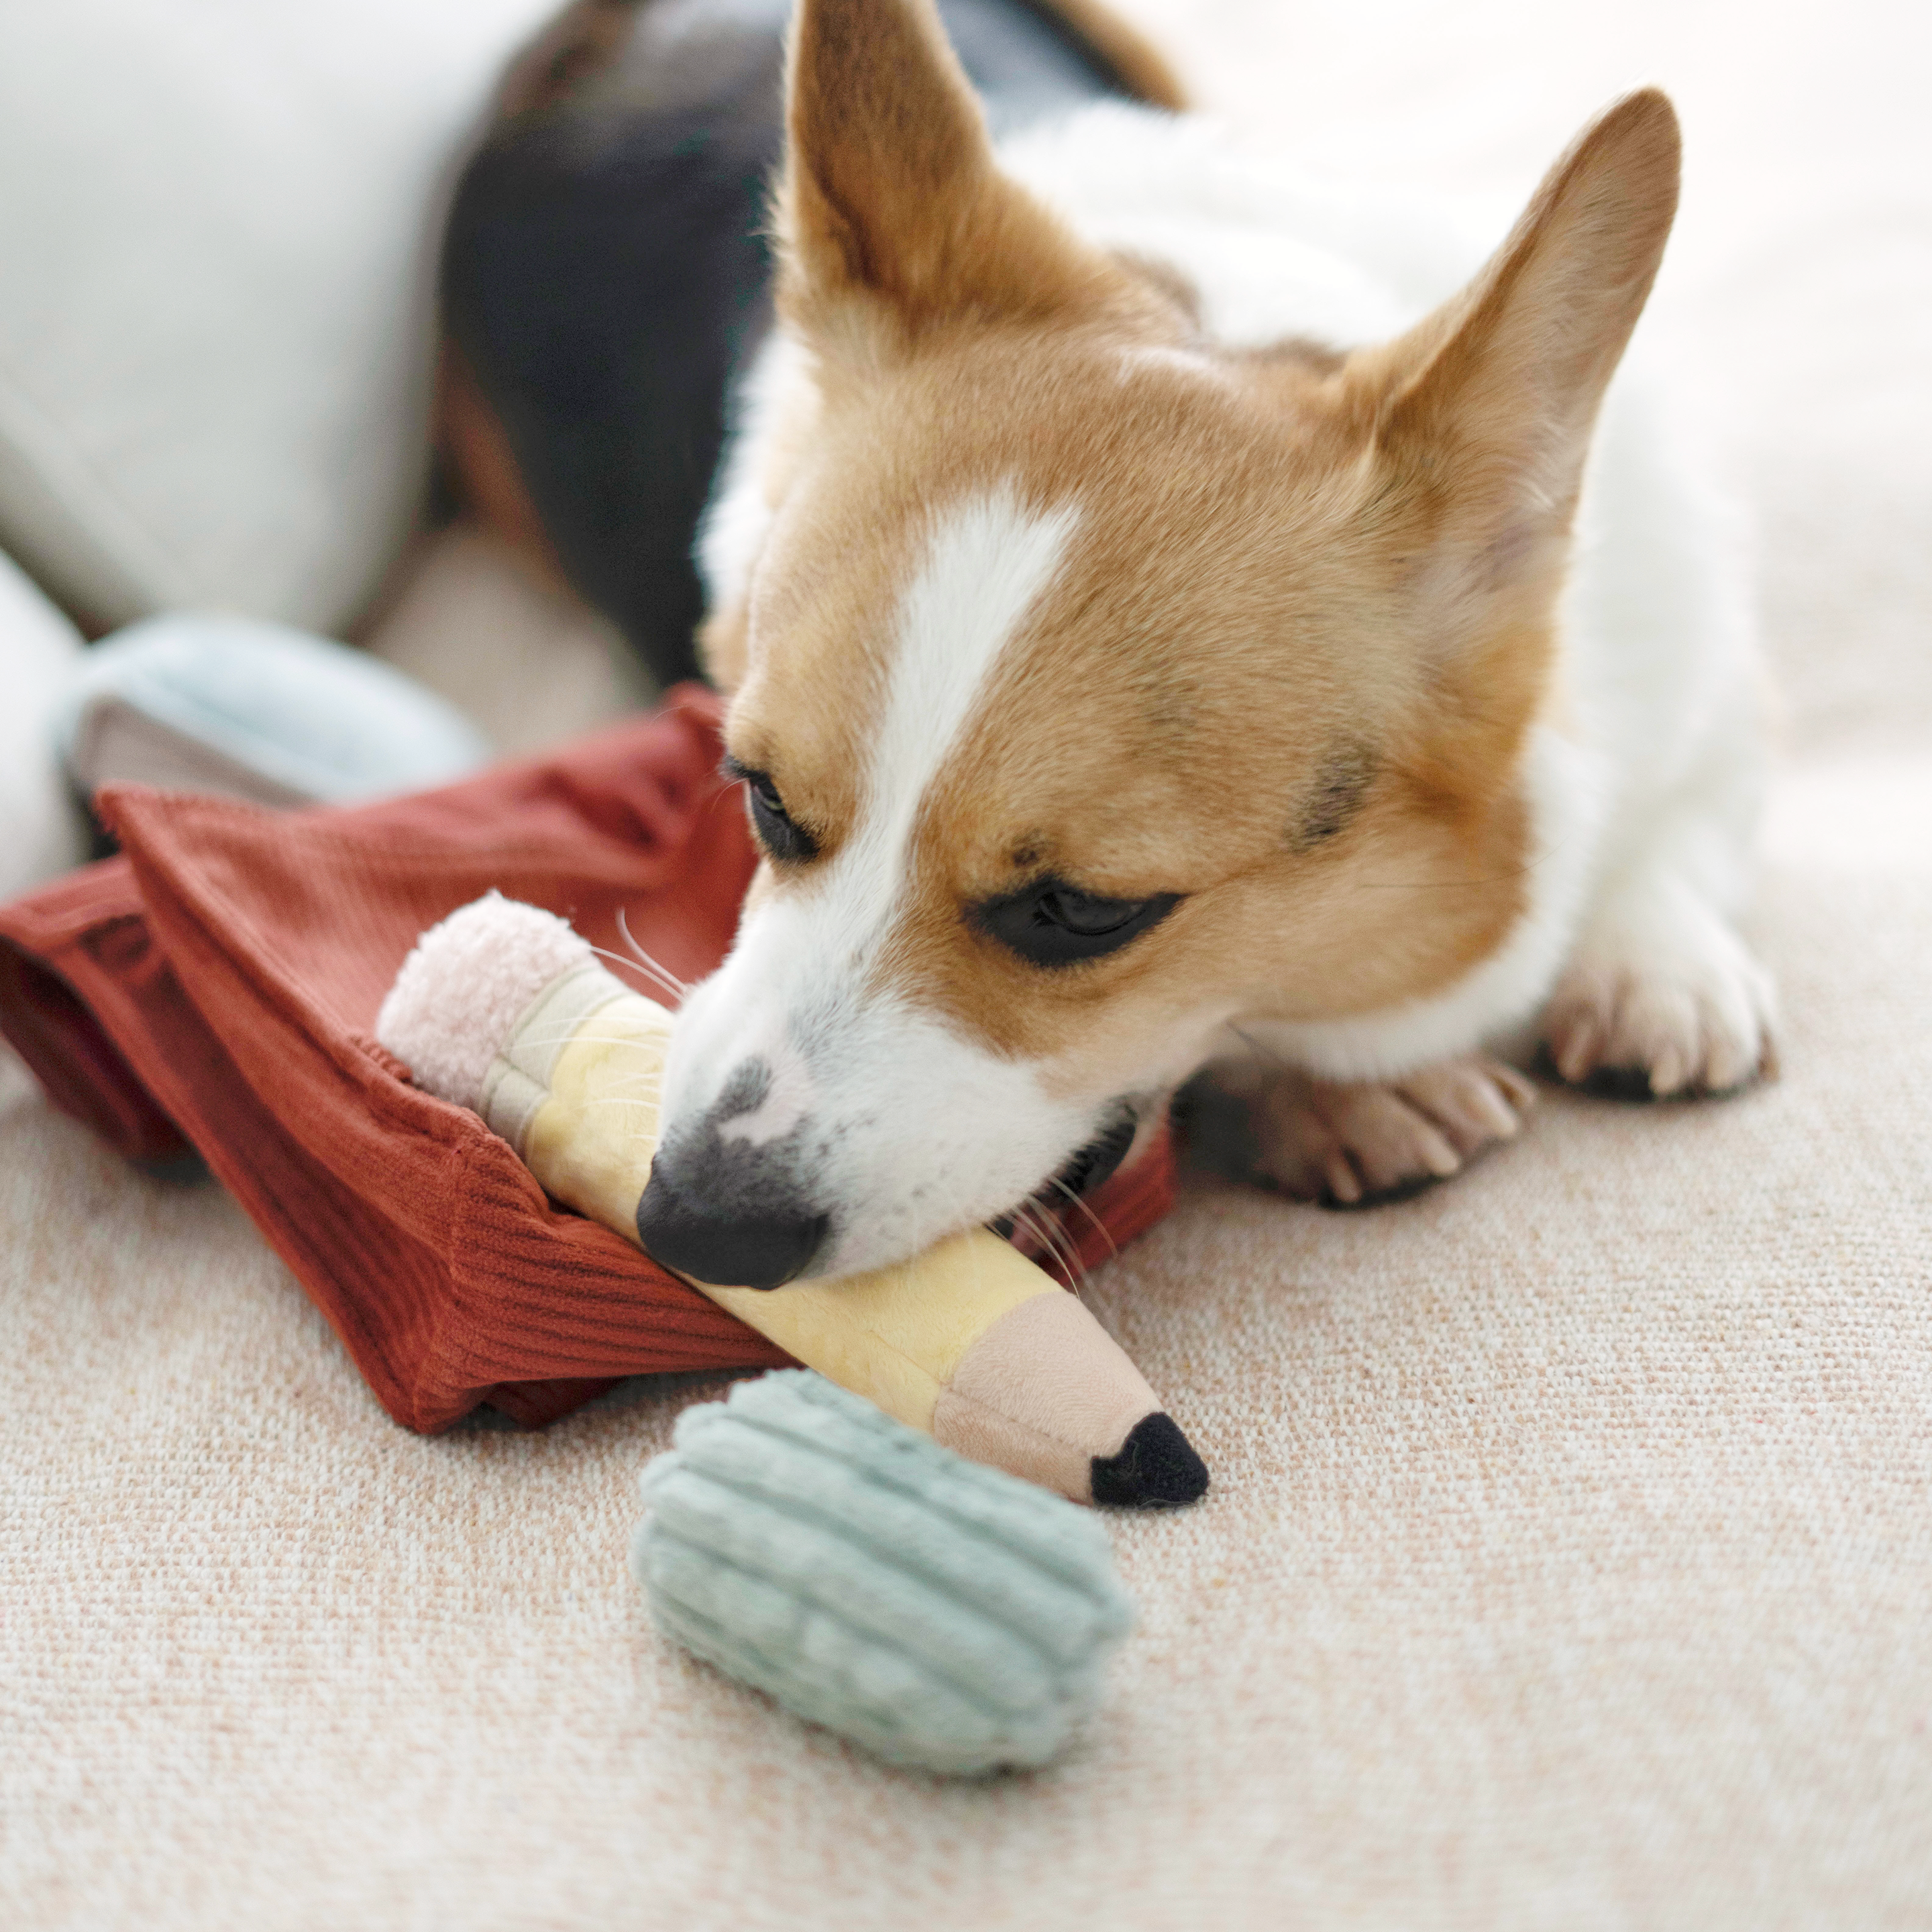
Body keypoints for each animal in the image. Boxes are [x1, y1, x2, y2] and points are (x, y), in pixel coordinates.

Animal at [614, 3, 1770, 1298]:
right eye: (762, 798)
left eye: (1082, 913)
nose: (688, 1227)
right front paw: (1334, 1097)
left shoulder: (1711, 688)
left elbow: (1675, 830)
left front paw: (1655, 972)